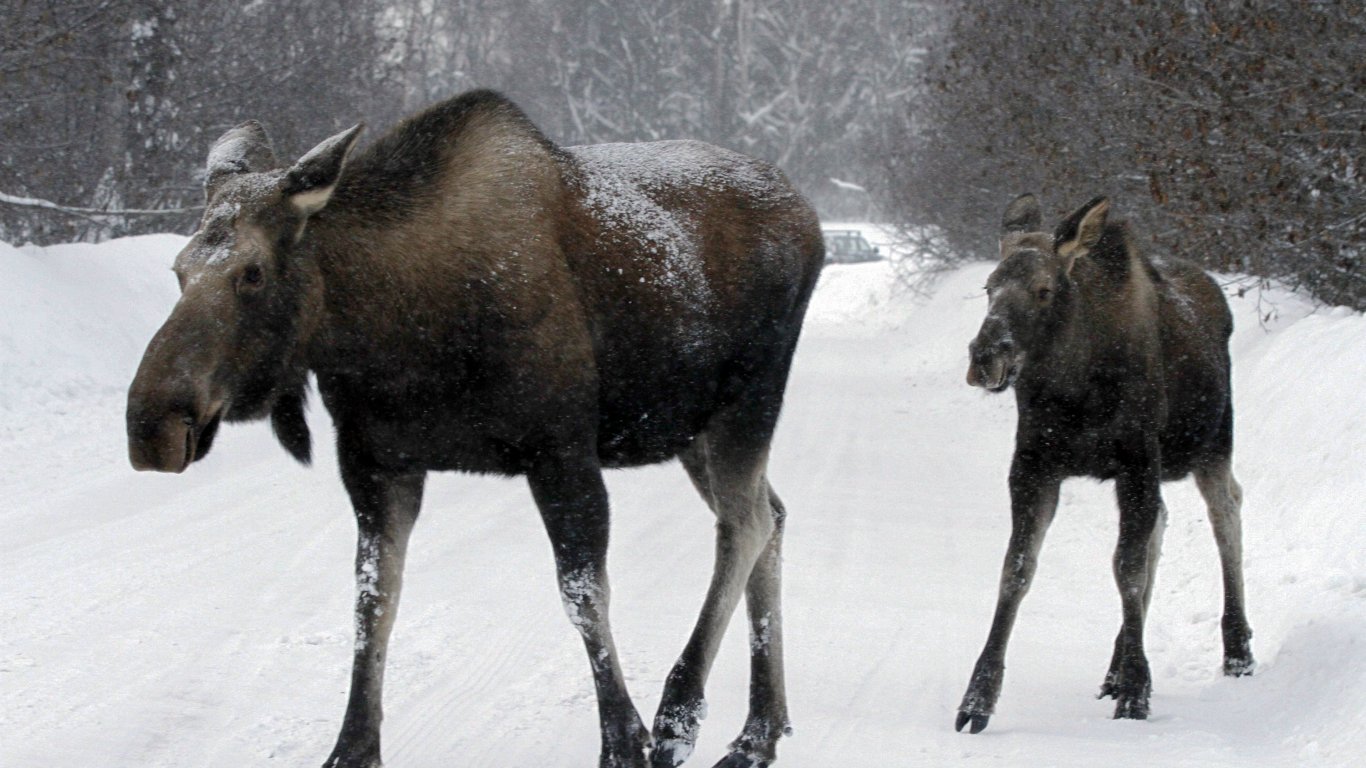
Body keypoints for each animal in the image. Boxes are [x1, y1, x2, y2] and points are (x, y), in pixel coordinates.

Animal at [130, 90, 819, 765]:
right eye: (179, 270)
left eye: (252, 272)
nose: (150, 425)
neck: (394, 330)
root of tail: (809, 218)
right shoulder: (376, 462)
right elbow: (373, 600)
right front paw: (352, 748)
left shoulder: (561, 452)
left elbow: (583, 595)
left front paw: (625, 741)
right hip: (691, 431)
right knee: (773, 513)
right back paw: (760, 728)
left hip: (747, 402)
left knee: (744, 525)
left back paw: (681, 714)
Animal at [956, 192, 1251, 727]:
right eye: (989, 287)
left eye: (1044, 289)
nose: (985, 357)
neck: (1074, 388)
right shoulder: (1033, 466)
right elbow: (1017, 569)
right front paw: (978, 698)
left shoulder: (1137, 462)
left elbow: (1126, 568)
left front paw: (1137, 691)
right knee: (1161, 525)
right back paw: (1115, 668)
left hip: (1213, 443)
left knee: (1226, 516)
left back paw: (1237, 649)